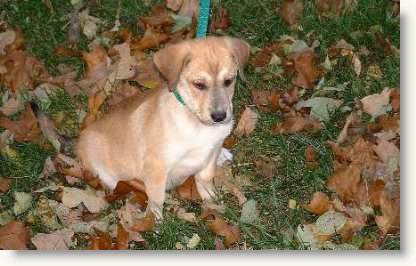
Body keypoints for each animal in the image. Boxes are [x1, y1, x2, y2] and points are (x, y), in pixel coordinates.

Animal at [76, 36, 249, 219]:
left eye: (228, 81)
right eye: (199, 85)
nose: (219, 117)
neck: (196, 122)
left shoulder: (211, 154)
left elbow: (205, 177)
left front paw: (211, 199)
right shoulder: (156, 167)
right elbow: (157, 198)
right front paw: (153, 220)